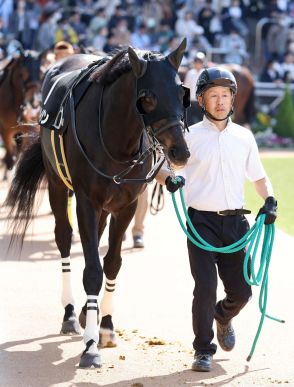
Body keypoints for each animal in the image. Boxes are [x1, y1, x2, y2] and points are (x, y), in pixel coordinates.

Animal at [0, 49, 42, 180]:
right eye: (22, 74)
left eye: (41, 72)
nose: (34, 102)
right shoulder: (5, 130)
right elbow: (10, 156)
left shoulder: (28, 129)